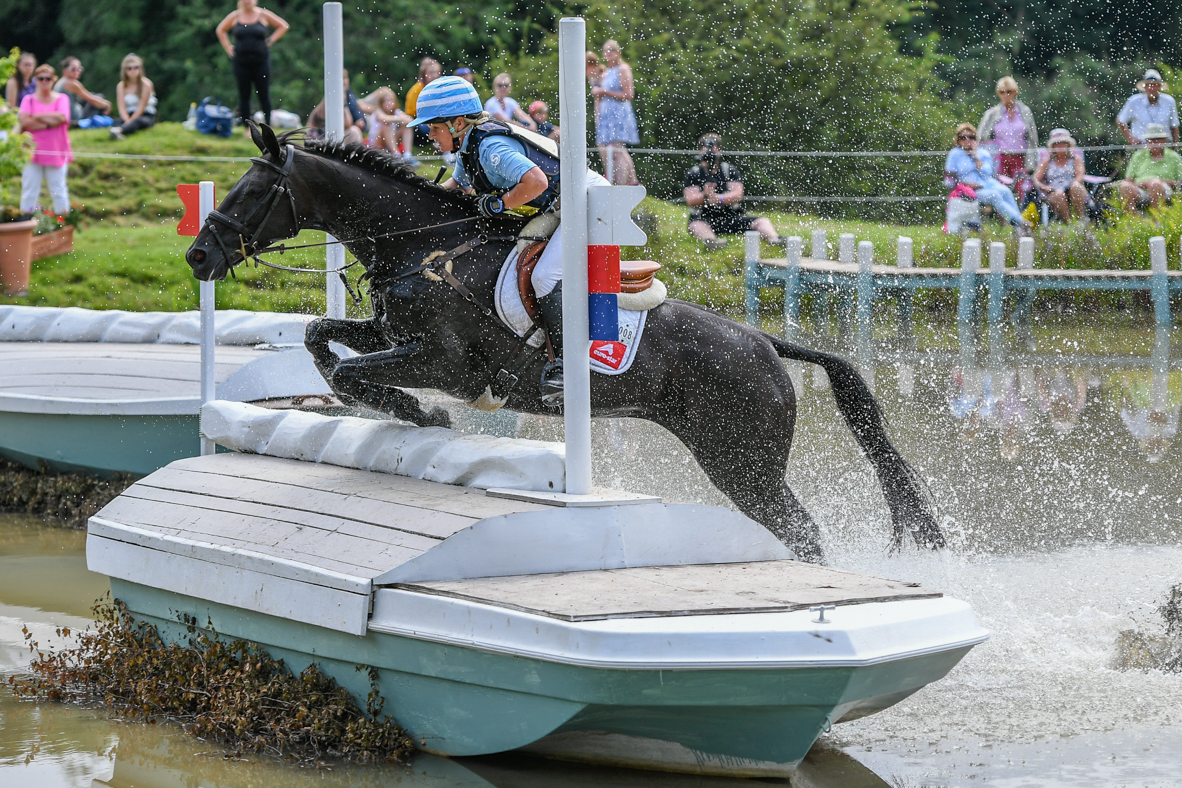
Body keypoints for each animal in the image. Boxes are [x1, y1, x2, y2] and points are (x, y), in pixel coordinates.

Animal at [184, 124, 940, 559]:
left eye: (254, 191)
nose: (197, 256)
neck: (423, 246)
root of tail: (765, 343)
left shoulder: (449, 364)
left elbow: (353, 372)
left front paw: (421, 412)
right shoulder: (391, 332)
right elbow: (323, 342)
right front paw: (405, 409)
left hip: (741, 461)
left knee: (802, 533)